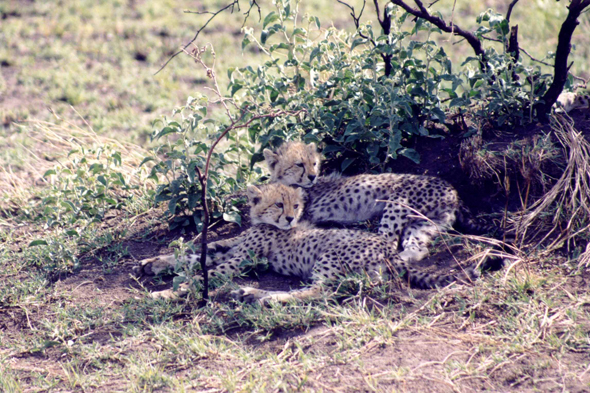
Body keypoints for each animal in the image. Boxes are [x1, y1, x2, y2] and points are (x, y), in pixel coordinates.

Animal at [136, 182, 478, 302]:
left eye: (295, 205)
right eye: (279, 204)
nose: (289, 219)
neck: (265, 223)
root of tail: (388, 253)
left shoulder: (239, 260)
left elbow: (202, 272)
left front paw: (166, 292)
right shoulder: (234, 248)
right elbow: (199, 254)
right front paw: (154, 263)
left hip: (329, 257)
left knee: (320, 290)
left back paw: (260, 296)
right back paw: (250, 293)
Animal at [264, 139, 494, 262]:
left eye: (313, 163)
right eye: (299, 164)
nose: (312, 176)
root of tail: (453, 190)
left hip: (397, 204)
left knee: (388, 241)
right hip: (424, 223)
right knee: (418, 248)